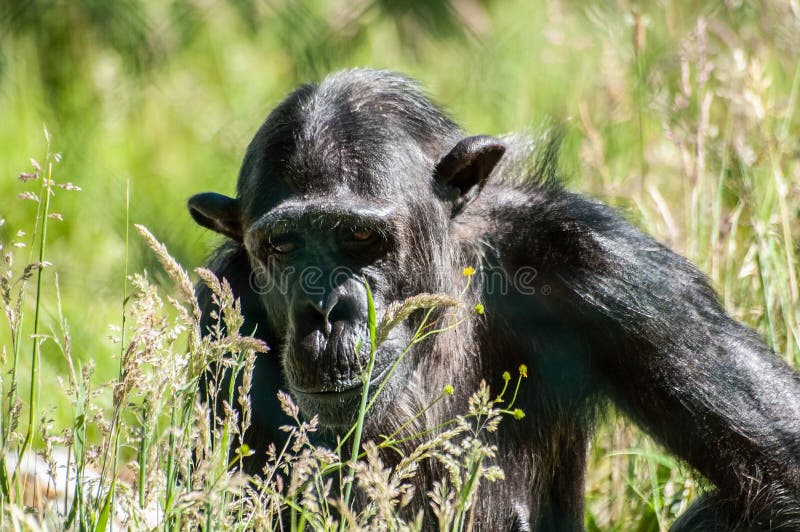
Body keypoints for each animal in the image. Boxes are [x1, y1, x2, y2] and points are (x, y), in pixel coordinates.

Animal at [188, 68, 800, 528]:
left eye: (360, 236)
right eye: (283, 245)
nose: (324, 310)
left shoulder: (612, 269)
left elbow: (783, 466)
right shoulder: (222, 313)